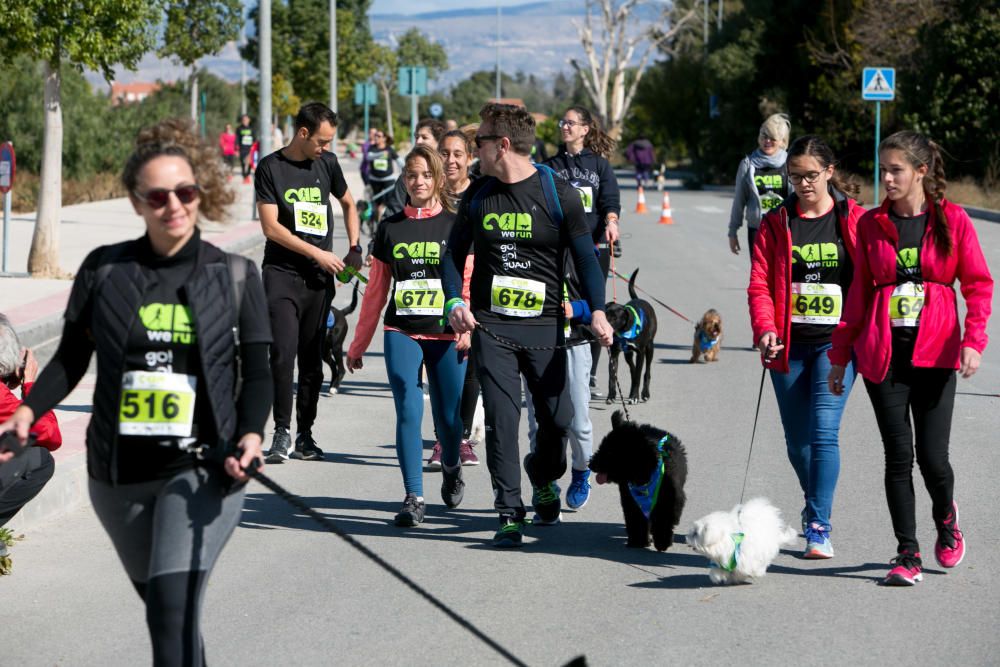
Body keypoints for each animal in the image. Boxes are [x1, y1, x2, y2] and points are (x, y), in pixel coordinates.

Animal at [584, 412, 688, 552]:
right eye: (602, 447)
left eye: (611, 451)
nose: (591, 464)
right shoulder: (631, 500)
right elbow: (636, 520)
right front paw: (638, 542)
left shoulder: (668, 499)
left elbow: (663, 519)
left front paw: (662, 542)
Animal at [604, 268, 660, 404]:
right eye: (605, 314)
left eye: (614, 318)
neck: (624, 331)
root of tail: (640, 299)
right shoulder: (614, 354)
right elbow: (612, 377)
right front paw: (611, 396)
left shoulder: (640, 353)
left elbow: (639, 375)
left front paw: (634, 396)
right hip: (627, 354)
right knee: (632, 369)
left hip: (650, 348)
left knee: (646, 371)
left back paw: (645, 393)